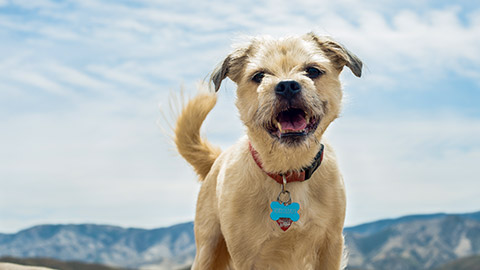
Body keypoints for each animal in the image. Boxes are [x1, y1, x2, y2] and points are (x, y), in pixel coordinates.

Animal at [174, 32, 362, 268]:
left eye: (312, 71)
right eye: (259, 76)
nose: (287, 85)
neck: (287, 171)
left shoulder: (331, 246)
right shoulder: (245, 256)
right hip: (207, 250)